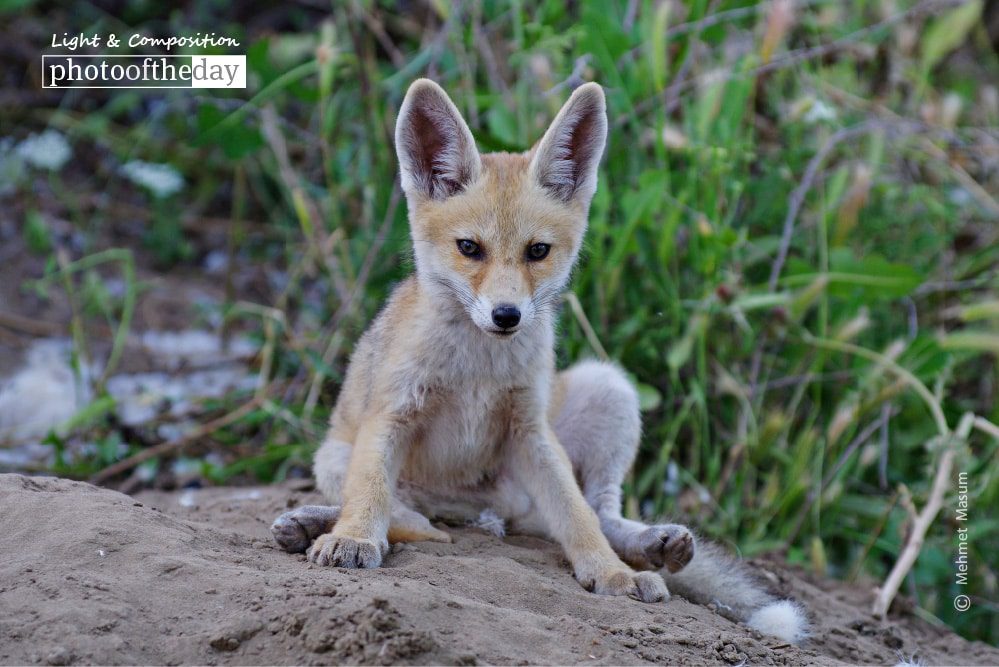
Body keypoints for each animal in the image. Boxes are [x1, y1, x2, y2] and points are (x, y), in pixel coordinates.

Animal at [272, 79, 807, 643]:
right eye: (469, 248)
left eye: (537, 251)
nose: (506, 315)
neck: (478, 368)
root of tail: (498, 512)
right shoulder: (392, 413)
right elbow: (370, 494)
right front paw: (352, 538)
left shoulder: (528, 429)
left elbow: (577, 516)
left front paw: (610, 573)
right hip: (335, 457)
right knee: (410, 512)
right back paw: (315, 523)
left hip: (608, 389)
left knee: (597, 509)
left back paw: (650, 546)